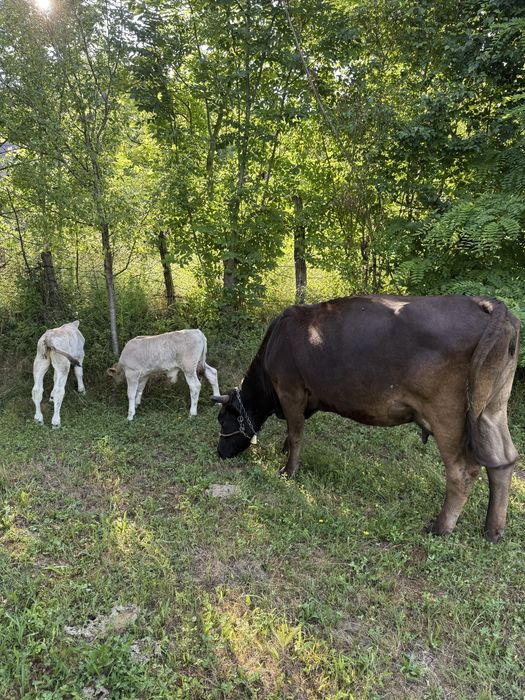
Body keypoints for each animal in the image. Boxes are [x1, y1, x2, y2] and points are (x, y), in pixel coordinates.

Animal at [213, 295, 520, 542]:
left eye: (222, 419)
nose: (219, 452)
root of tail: (486, 304)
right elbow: (292, 432)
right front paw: (284, 450)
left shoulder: (291, 391)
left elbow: (296, 433)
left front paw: (288, 470)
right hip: (492, 408)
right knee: (503, 461)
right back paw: (493, 530)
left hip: (447, 414)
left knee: (462, 470)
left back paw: (440, 527)